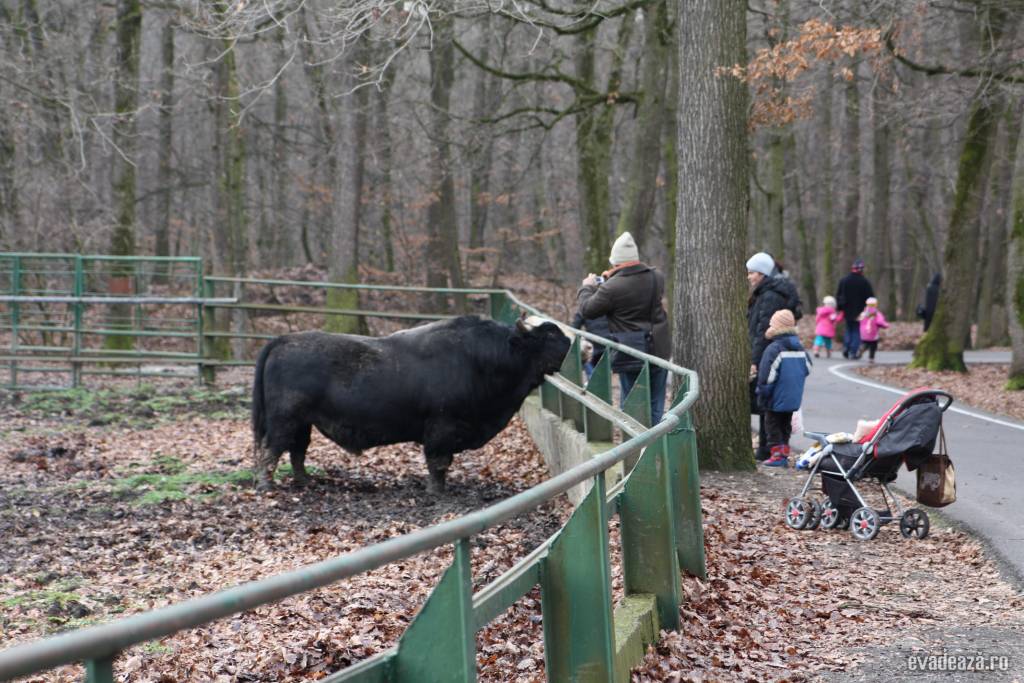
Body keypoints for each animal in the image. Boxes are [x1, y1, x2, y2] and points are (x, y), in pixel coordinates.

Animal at [247, 315, 569, 491]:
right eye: (545, 337)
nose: (568, 340)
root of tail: (282, 340)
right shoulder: (441, 429)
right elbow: (438, 462)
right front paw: (437, 492)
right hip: (285, 421)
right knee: (271, 451)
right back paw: (267, 486)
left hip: (303, 424)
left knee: (297, 452)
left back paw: (304, 482)